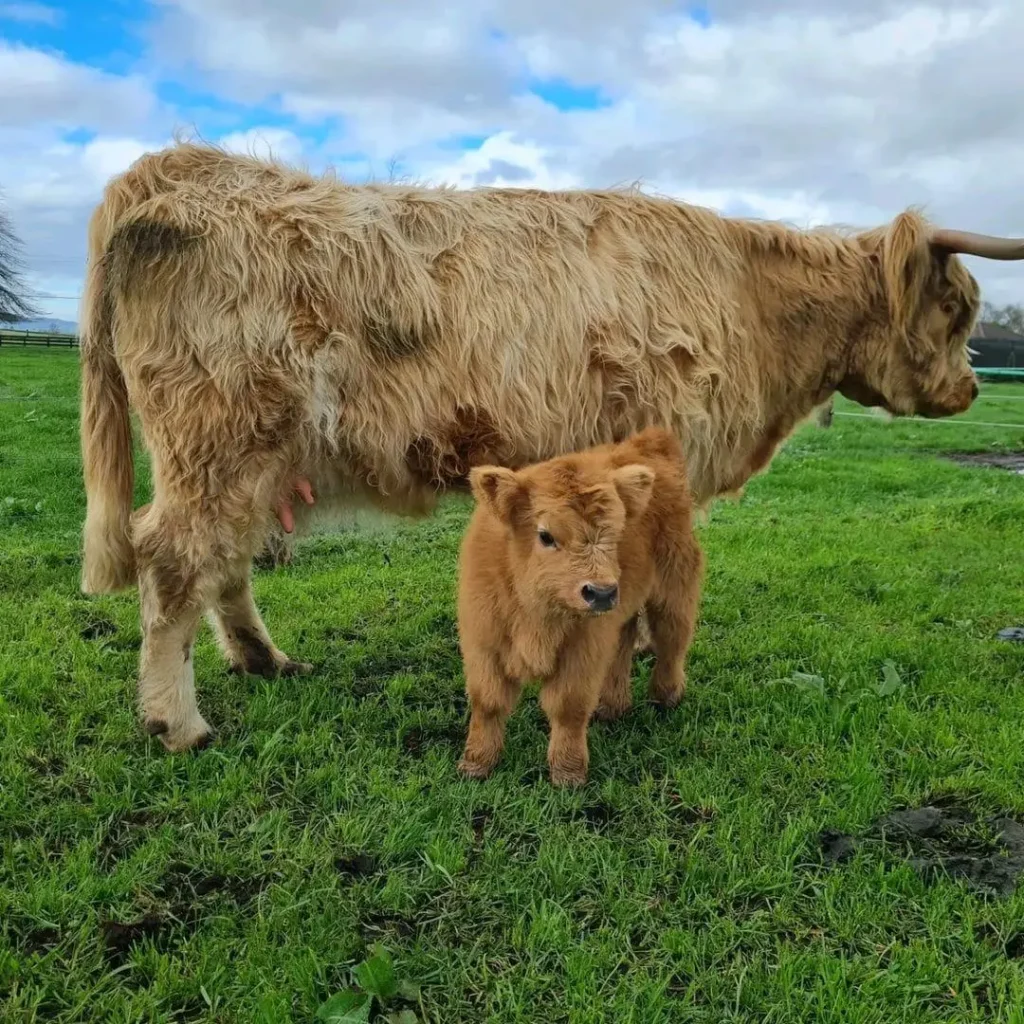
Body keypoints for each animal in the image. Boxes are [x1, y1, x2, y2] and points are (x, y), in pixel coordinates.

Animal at [456, 427, 703, 787]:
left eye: (616, 532)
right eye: (545, 535)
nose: (601, 593)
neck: (539, 613)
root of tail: (650, 440)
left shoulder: (582, 648)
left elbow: (568, 707)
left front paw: (568, 773)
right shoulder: (484, 643)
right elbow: (487, 702)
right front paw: (476, 764)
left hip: (674, 587)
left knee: (672, 639)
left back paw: (665, 697)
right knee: (624, 643)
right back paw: (612, 706)